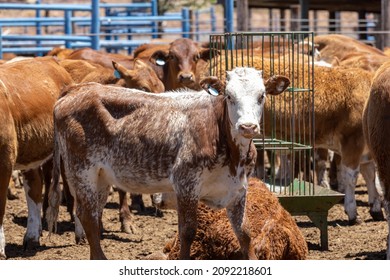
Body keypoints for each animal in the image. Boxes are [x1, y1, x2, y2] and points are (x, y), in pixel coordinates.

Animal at [45, 66, 290, 260]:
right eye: (229, 96)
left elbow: (244, 234)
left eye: (262, 95)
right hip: (82, 171)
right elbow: (187, 232)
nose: (247, 127)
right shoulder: (186, 185)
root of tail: (77, 89)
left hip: (101, 177)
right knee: (87, 217)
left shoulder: (238, 188)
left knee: (94, 217)